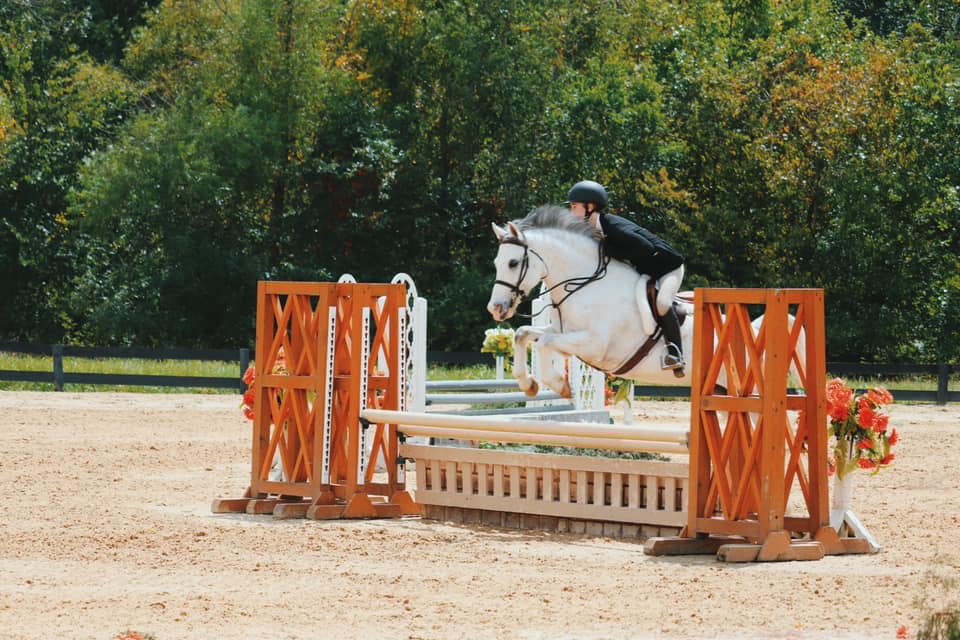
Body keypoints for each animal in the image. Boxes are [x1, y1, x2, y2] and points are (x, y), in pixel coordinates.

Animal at [487, 205, 698, 398]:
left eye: (513, 263)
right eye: (496, 263)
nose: (495, 308)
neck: (584, 283)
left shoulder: (595, 344)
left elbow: (543, 343)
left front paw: (560, 386)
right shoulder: (562, 331)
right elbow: (522, 334)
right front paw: (528, 384)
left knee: (662, 305)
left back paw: (674, 359)